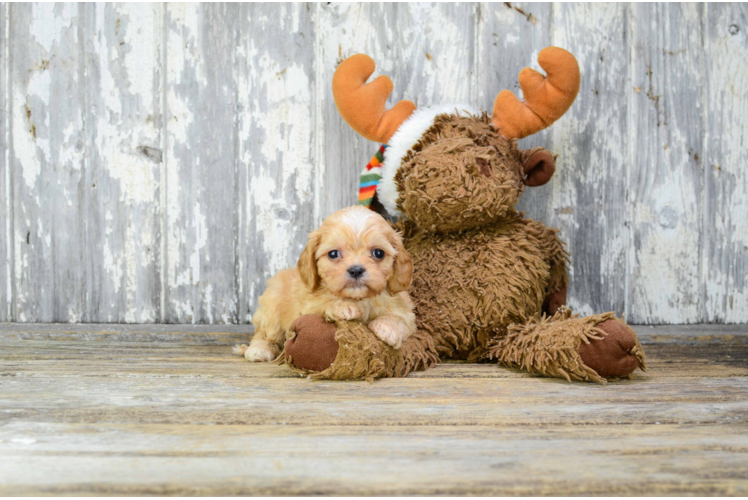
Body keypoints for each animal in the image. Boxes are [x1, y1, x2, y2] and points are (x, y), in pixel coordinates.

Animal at [235, 205, 414, 362]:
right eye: (333, 254)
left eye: (378, 253)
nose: (356, 270)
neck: (359, 298)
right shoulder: (307, 305)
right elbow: (324, 301)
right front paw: (344, 307)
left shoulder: (405, 309)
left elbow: (400, 317)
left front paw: (387, 328)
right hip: (272, 308)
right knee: (264, 333)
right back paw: (259, 349)